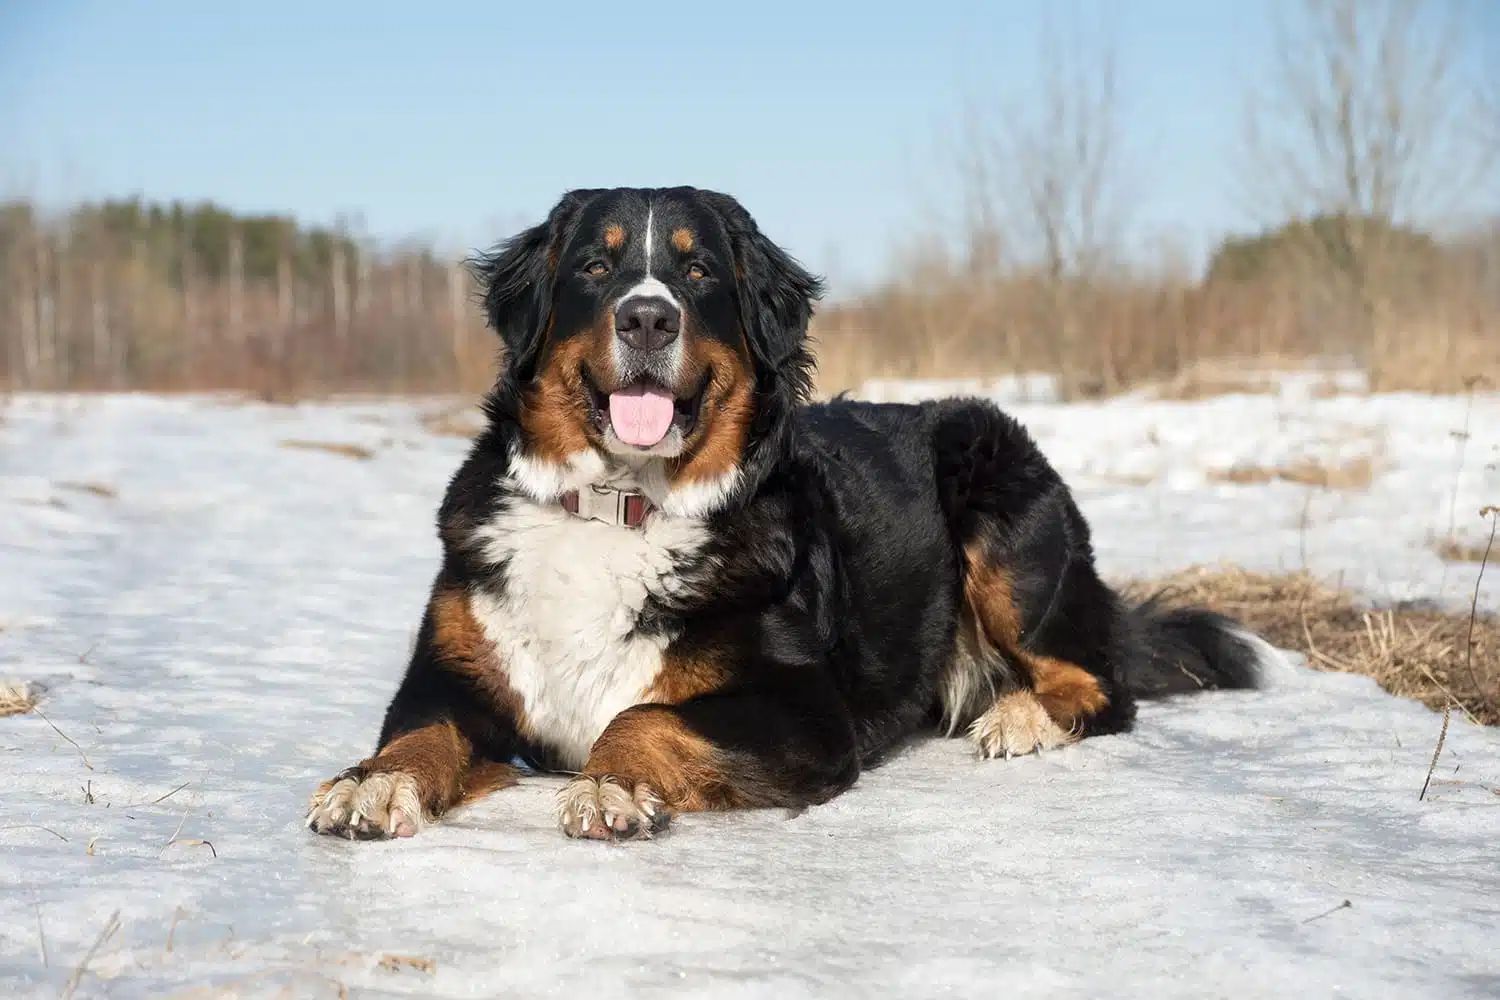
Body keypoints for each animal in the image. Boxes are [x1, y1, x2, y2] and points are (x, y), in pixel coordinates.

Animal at [304, 187, 1278, 845]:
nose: (648, 317)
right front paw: (371, 784)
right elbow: (420, 733)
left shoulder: (806, 714)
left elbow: (640, 718)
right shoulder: (449, 676)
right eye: (594, 265)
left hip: (997, 495)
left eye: (697, 269)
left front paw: (610, 788)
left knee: (1101, 683)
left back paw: (1020, 720)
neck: (621, 503)